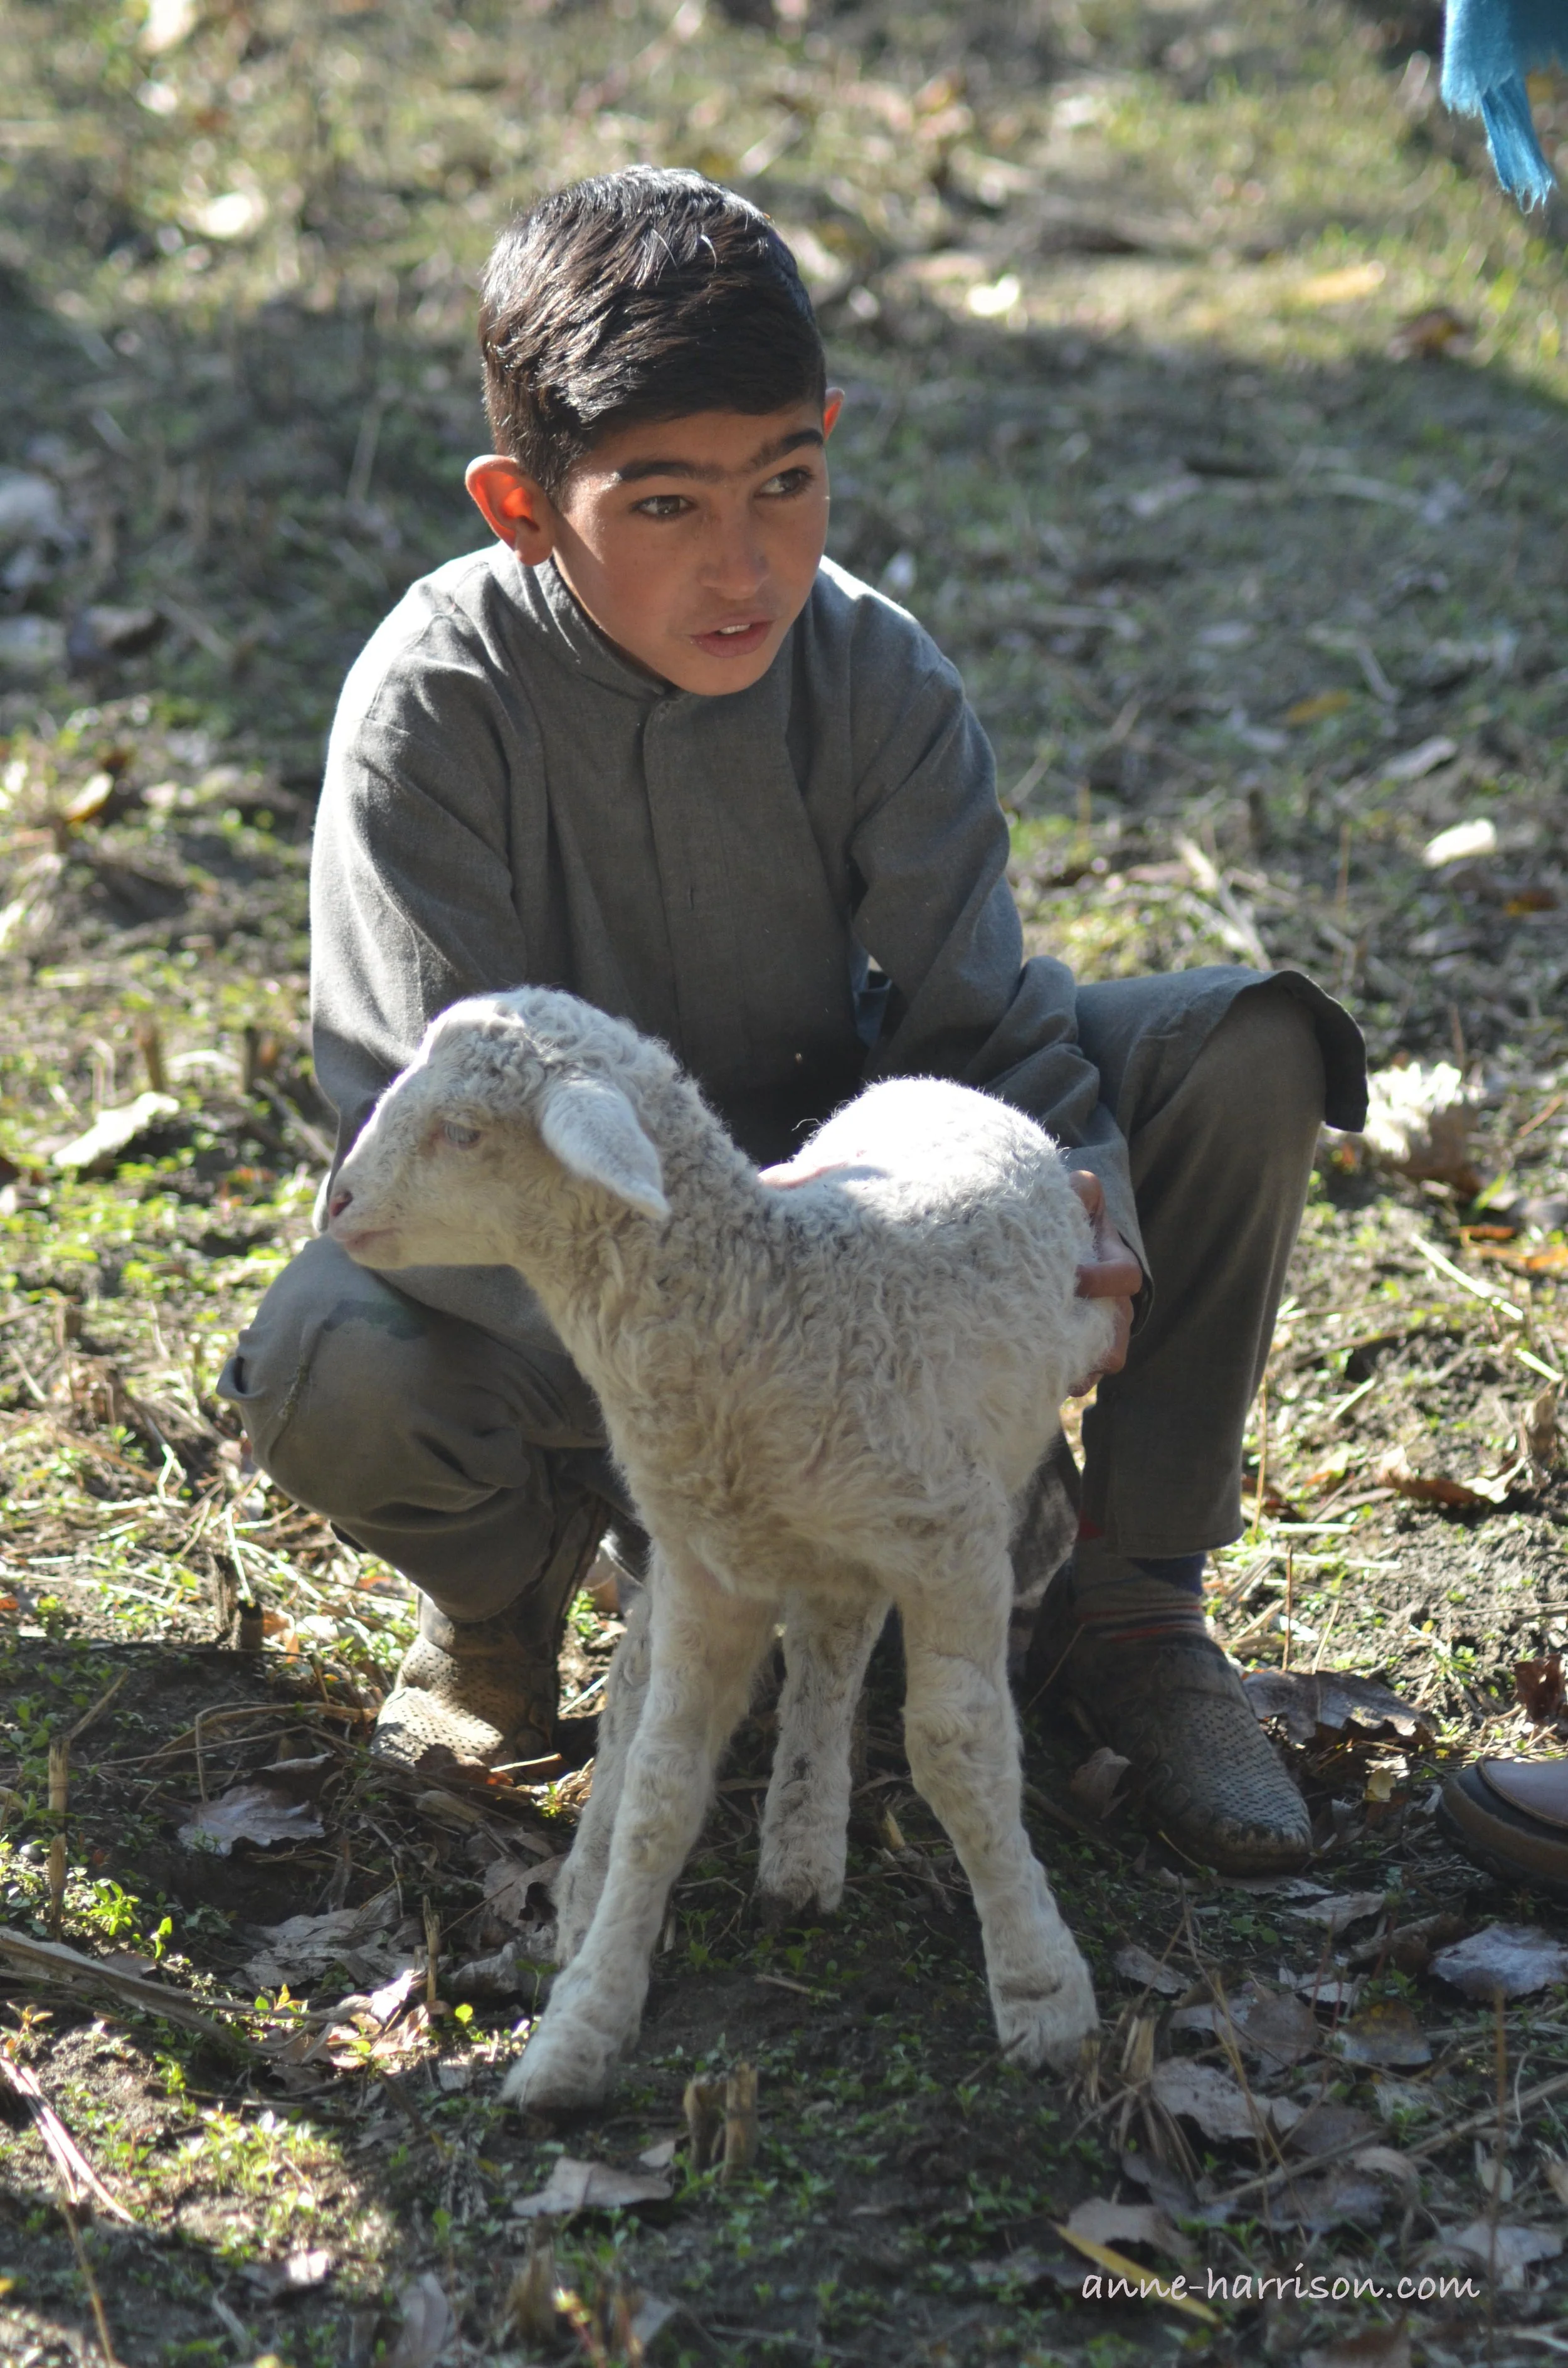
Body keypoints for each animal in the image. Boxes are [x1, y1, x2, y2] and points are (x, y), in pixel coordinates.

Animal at [326, 986, 1116, 2110]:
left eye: (465, 1131)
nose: (338, 1205)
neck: (771, 1304)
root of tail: (936, 1082)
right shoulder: (711, 1565)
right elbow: (660, 1783)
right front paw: (580, 2032)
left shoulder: (952, 1542)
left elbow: (958, 1750)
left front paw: (1042, 1991)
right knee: (826, 1641)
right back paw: (799, 1845)